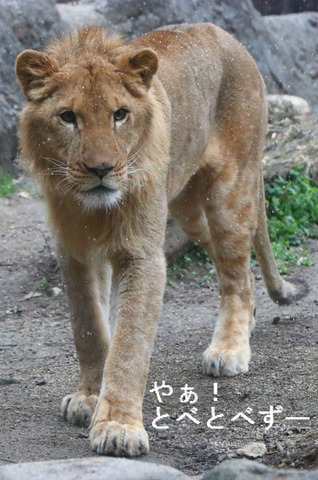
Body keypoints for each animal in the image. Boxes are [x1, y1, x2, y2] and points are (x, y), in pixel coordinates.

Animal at [15, 23, 308, 458]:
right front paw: (89, 396)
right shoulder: (75, 251)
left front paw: (118, 426)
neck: (95, 209)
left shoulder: (143, 254)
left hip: (230, 191)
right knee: (232, 266)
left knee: (236, 275)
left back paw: (229, 349)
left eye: (120, 114)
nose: (101, 169)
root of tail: (227, 36)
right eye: (68, 117)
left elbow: (130, 344)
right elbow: (88, 328)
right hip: (188, 210)